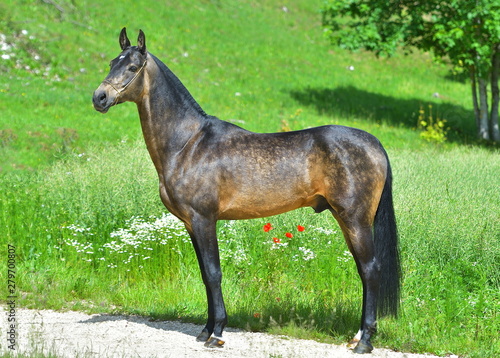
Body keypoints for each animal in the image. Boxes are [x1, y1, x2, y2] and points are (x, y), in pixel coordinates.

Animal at [92, 29, 400, 354]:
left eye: (132, 67)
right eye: (112, 62)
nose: (99, 97)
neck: (188, 144)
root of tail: (374, 143)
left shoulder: (204, 219)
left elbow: (213, 273)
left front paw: (216, 334)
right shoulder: (190, 224)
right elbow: (205, 275)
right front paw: (205, 330)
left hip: (355, 219)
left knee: (370, 270)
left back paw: (364, 341)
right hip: (347, 220)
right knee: (364, 271)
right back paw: (357, 336)